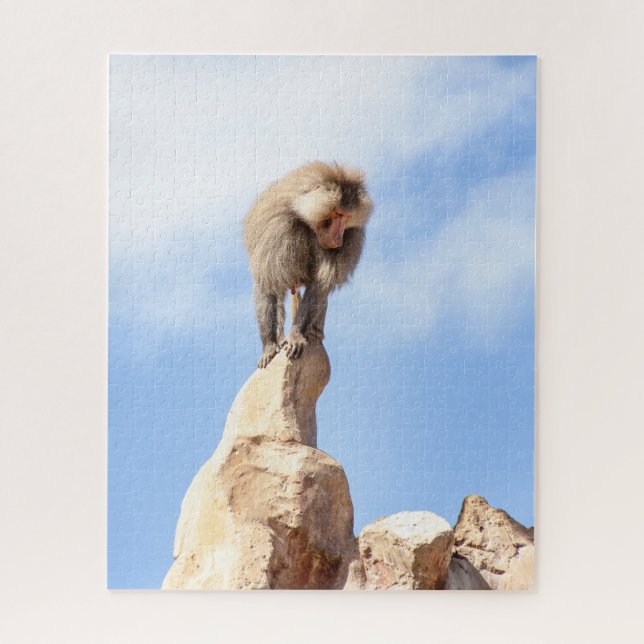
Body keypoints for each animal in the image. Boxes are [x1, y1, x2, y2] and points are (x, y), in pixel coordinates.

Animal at [243, 161, 373, 368]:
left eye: (347, 217)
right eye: (337, 214)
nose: (338, 241)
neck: (305, 218)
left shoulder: (352, 237)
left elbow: (320, 286)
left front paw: (297, 336)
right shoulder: (277, 229)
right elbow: (268, 284)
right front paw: (269, 347)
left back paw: (313, 334)